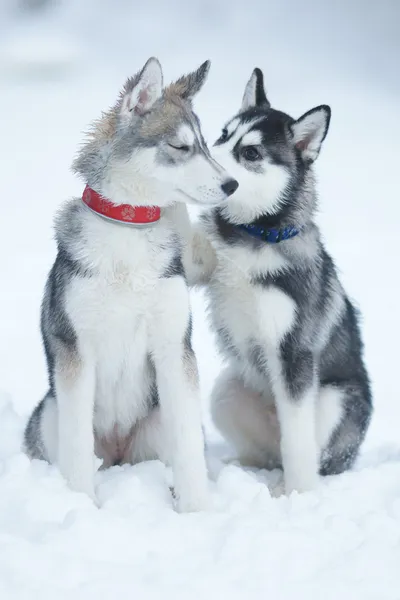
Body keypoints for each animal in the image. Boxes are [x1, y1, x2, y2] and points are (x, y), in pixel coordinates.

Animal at [24, 57, 238, 510]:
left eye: (207, 145)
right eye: (180, 147)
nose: (233, 185)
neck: (129, 227)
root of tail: (121, 451)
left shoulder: (174, 348)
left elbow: (188, 446)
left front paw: (196, 510)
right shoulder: (76, 352)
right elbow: (76, 449)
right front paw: (82, 507)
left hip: (155, 424)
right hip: (50, 412)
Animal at [189, 68, 374, 494]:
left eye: (251, 153)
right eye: (223, 134)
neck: (254, 234)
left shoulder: (294, 353)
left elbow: (298, 442)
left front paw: (298, 496)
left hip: (332, 398)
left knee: (305, 449)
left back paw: (292, 485)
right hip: (229, 390)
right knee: (265, 454)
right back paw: (243, 472)